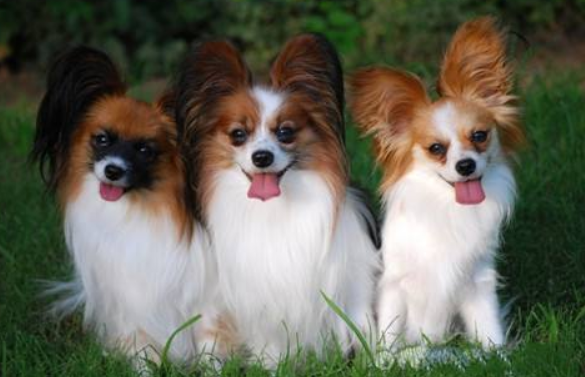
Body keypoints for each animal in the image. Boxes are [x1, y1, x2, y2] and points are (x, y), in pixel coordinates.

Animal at [32, 46, 219, 364]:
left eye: (144, 149)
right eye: (102, 139)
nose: (112, 171)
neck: (141, 210)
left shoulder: (208, 296)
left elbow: (211, 340)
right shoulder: (129, 299)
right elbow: (141, 345)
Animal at [169, 33, 378, 362]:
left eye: (285, 132)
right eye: (238, 134)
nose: (262, 157)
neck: (277, 207)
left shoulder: (356, 281)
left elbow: (364, 326)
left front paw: (377, 362)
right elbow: (269, 342)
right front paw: (271, 365)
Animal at [350, 16, 524, 352]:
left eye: (480, 136)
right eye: (436, 149)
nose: (465, 165)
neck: (447, 207)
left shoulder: (478, 281)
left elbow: (489, 329)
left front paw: (498, 356)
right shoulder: (394, 284)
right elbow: (389, 333)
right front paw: (385, 359)